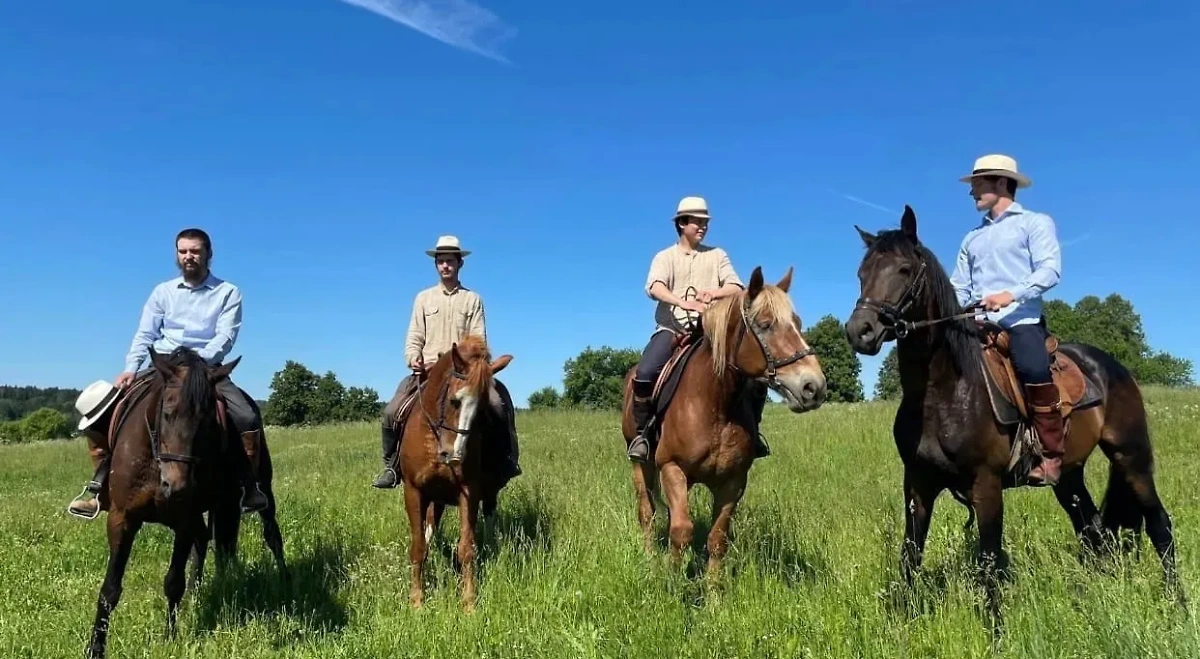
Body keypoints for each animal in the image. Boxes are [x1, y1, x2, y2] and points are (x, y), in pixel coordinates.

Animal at [85, 345, 288, 652]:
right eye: (167, 413)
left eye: (207, 422)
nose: (177, 485)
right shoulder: (122, 518)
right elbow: (110, 589)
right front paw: (95, 647)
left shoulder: (183, 519)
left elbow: (173, 582)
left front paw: (169, 637)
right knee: (206, 541)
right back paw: (198, 590)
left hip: (259, 490)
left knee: (271, 535)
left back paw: (285, 582)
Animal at [400, 333, 513, 612]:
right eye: (454, 400)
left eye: (483, 409)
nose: (454, 454)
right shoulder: (413, 491)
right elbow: (418, 547)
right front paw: (416, 601)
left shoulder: (469, 492)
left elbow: (467, 548)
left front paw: (469, 603)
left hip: (488, 494)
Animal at [619, 266, 825, 576]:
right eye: (765, 324)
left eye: (797, 323)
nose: (814, 387)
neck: (715, 405)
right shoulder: (671, 467)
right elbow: (681, 531)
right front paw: (671, 579)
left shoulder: (733, 482)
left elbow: (717, 539)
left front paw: (713, 589)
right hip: (640, 464)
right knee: (647, 511)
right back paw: (649, 554)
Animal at [844, 206, 1180, 612]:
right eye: (862, 274)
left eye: (905, 269)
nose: (859, 331)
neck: (942, 393)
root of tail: (1112, 366)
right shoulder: (918, 485)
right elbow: (910, 556)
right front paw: (904, 619)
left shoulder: (986, 486)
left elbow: (989, 562)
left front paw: (994, 625)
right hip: (1068, 476)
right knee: (1092, 530)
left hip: (1131, 456)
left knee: (1159, 523)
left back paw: (1177, 601)